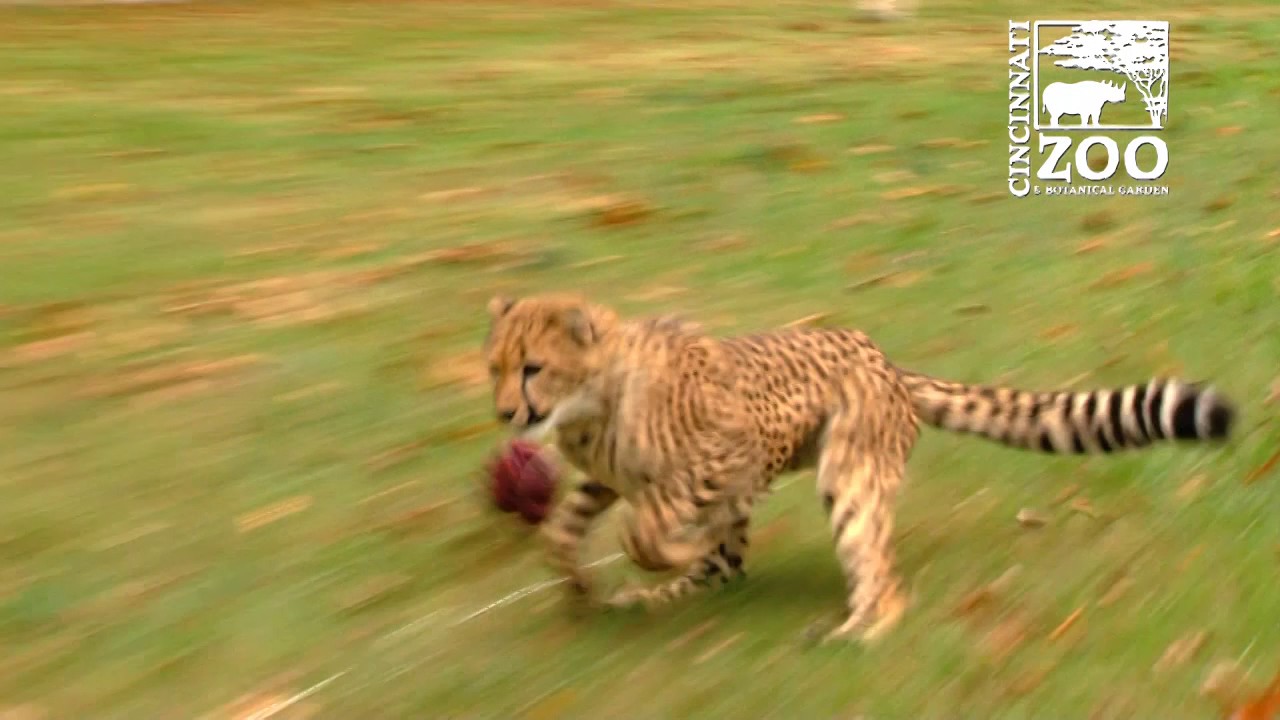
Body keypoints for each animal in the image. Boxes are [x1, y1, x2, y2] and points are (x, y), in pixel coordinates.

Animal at [482, 292, 1236, 644]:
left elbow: (646, 531)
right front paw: (579, 583)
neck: (594, 401)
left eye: (533, 368)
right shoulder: (610, 477)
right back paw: (662, 597)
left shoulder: (730, 453)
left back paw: (856, 634)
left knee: (882, 578)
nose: (506, 413)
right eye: (495, 367)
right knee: (729, 570)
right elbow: (566, 529)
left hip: (848, 475)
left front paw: (662, 550)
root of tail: (885, 359)